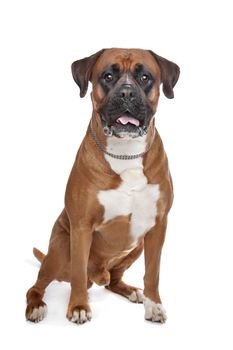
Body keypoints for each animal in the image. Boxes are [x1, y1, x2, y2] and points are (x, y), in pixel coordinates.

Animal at [25, 47, 179, 324]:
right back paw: (36, 306)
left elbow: (153, 272)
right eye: (108, 76)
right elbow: (77, 273)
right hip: (59, 251)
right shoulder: (81, 227)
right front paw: (78, 306)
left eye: (145, 77)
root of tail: (98, 274)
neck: (125, 154)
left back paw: (130, 291)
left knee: (112, 281)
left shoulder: (158, 227)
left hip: (137, 245)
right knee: (38, 285)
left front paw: (153, 305)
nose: (127, 92)